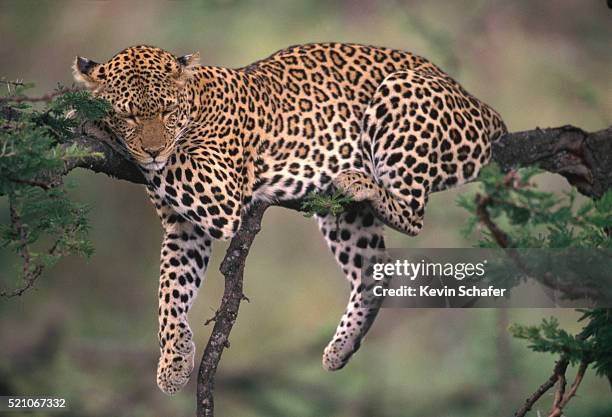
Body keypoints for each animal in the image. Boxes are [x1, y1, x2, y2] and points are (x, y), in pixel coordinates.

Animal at [73, 41, 506, 394]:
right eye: (129, 116)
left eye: (166, 111)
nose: (152, 152)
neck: (196, 103)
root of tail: (487, 109)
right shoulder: (183, 229)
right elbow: (170, 290)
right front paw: (174, 360)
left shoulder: (217, 193)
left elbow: (176, 165)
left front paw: (90, 120)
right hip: (344, 218)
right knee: (374, 270)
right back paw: (341, 348)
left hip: (402, 92)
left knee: (412, 214)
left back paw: (361, 181)